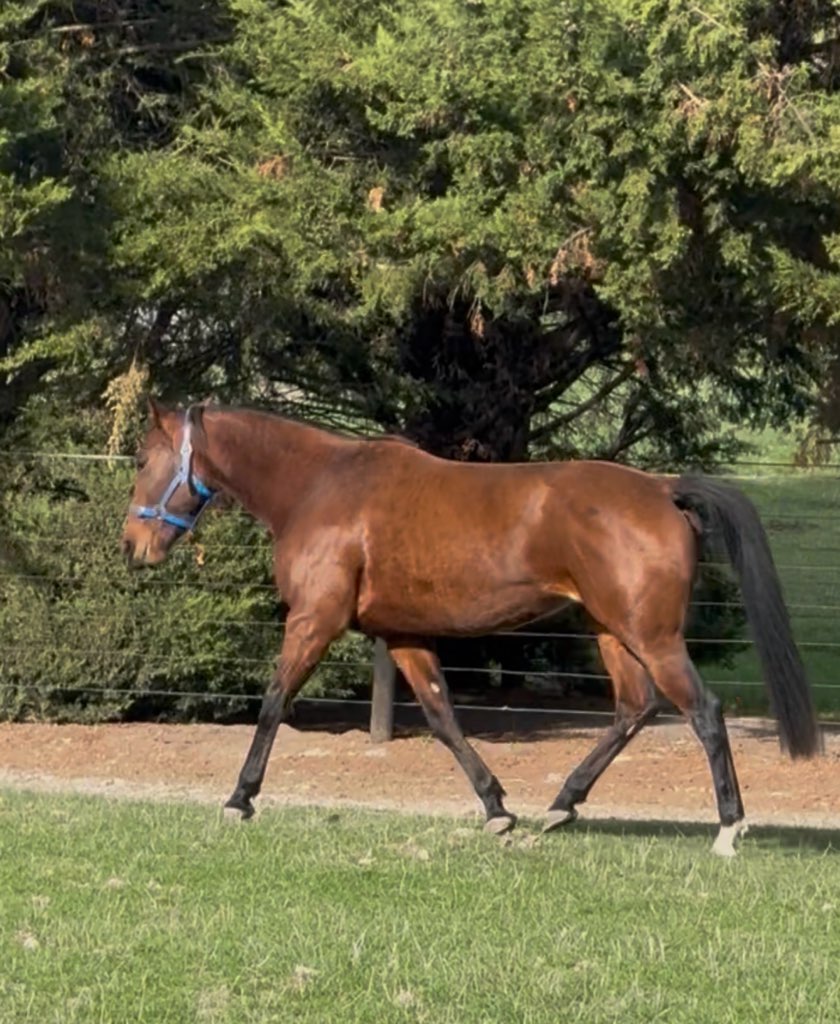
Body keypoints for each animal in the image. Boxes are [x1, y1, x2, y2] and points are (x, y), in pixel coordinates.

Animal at [121, 399, 821, 856]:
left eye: (142, 458)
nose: (133, 545)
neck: (320, 487)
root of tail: (660, 488)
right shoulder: (404, 636)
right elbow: (443, 718)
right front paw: (496, 809)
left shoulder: (315, 619)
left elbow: (273, 703)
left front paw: (239, 799)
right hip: (611, 631)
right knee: (634, 707)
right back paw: (562, 805)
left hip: (651, 636)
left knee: (702, 711)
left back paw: (729, 827)